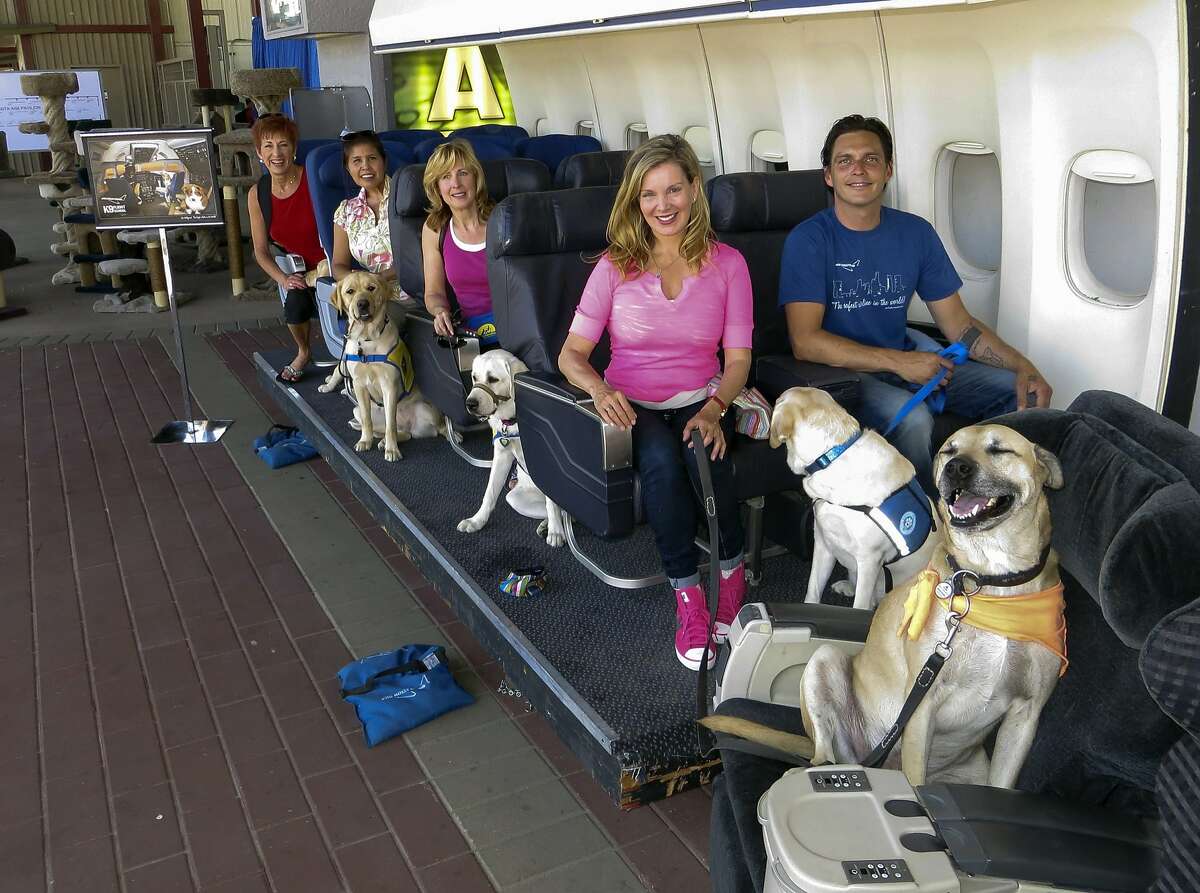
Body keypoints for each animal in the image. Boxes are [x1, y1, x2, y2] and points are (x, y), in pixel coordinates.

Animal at [319, 272, 446, 460]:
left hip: (425, 409)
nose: (362, 303)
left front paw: (392, 450)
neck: (366, 339)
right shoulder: (359, 385)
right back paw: (380, 440)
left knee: (430, 428)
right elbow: (367, 420)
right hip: (356, 409)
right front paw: (365, 441)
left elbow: (390, 424)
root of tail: (407, 425)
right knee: (401, 433)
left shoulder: (389, 386)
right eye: (350, 291)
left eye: (371, 288)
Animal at [456, 348, 564, 544]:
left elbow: (552, 502)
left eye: (493, 379)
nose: (470, 404)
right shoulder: (501, 454)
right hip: (514, 497)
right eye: (475, 377)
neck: (513, 420)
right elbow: (489, 493)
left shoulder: (545, 458)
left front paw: (556, 532)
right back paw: (546, 525)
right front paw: (477, 521)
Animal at [705, 427, 1065, 787]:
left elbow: (1000, 783)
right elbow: (916, 782)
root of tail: (875, 762)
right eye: (949, 451)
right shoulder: (922, 705)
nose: (955, 469)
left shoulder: (1025, 715)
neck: (988, 581)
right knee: (821, 756)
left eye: (1000, 449)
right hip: (825, 661)